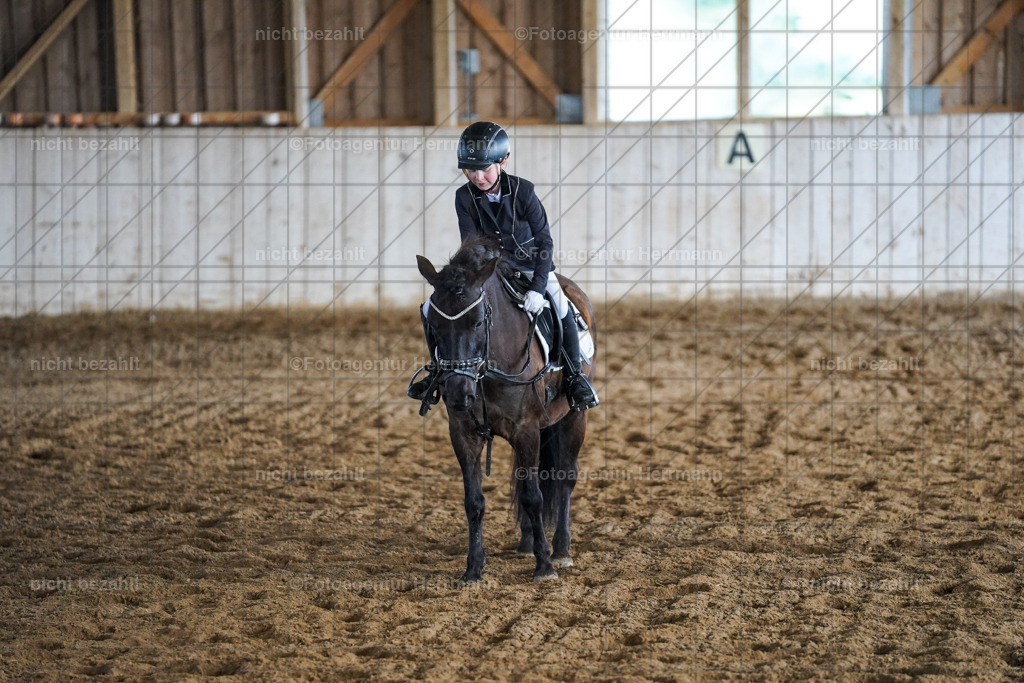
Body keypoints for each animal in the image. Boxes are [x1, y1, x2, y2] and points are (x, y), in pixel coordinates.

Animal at [414, 238, 596, 583]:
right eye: (433, 325)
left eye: (477, 322)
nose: (458, 393)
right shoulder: (463, 433)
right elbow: (474, 501)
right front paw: (473, 569)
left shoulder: (526, 429)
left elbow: (534, 496)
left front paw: (545, 566)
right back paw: (527, 543)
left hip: (574, 417)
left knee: (565, 478)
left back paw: (561, 550)